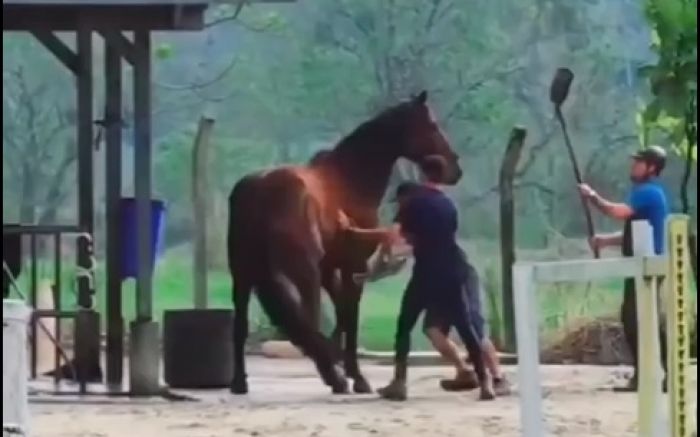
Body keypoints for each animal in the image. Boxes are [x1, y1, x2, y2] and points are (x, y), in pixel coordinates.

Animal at [227, 90, 462, 394]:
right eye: (431, 125)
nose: (454, 168)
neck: (350, 180)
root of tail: (258, 190)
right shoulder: (353, 266)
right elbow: (350, 314)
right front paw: (356, 375)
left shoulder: (330, 268)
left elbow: (341, 310)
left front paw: (340, 361)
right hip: (302, 273)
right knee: (309, 319)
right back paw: (333, 377)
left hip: (244, 275)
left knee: (242, 325)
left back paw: (240, 382)